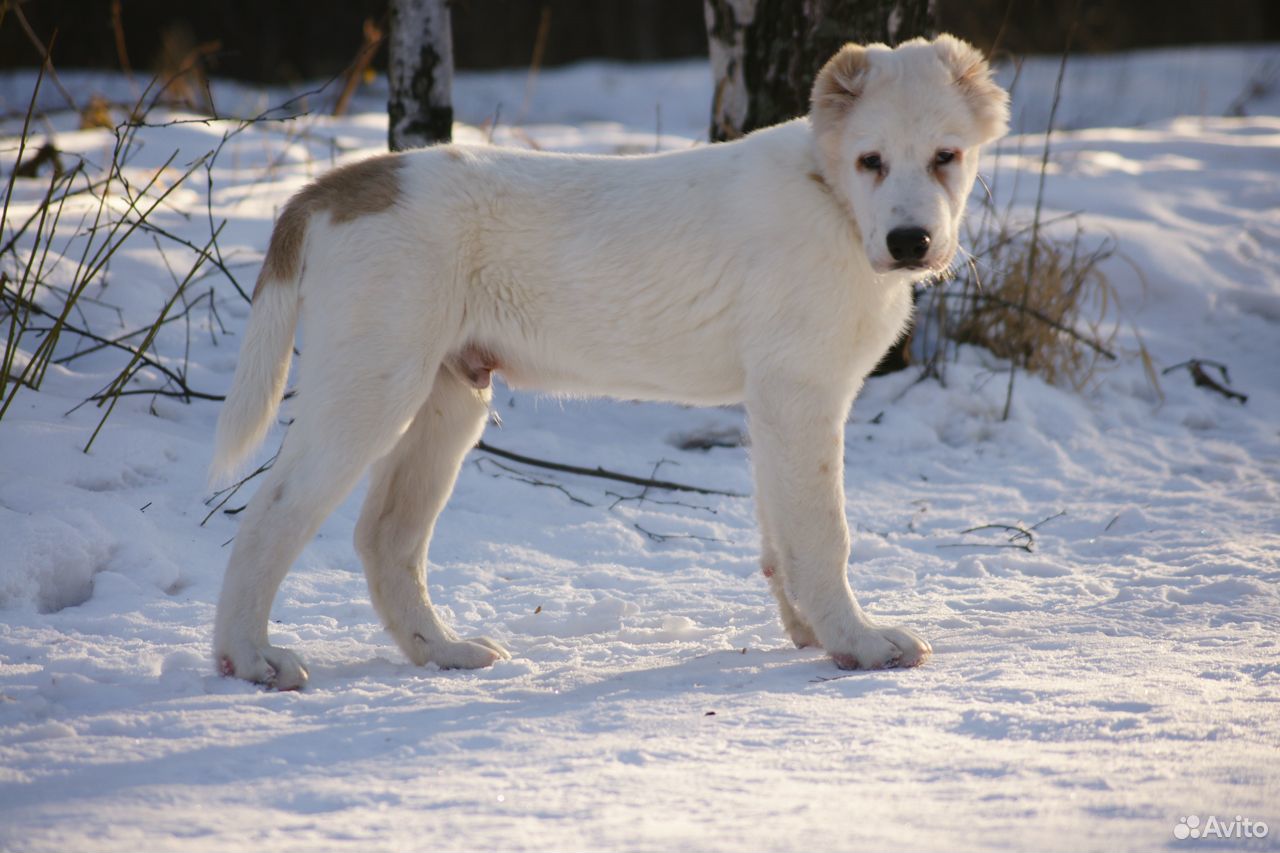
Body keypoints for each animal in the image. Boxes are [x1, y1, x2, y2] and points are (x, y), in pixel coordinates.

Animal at [209, 36, 1008, 686]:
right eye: (871, 161)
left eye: (946, 157)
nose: (910, 241)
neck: (834, 198)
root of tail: (336, 188)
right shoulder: (802, 391)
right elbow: (823, 534)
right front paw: (859, 642)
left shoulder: (776, 403)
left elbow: (782, 533)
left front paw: (812, 633)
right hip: (371, 386)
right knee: (271, 514)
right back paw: (250, 658)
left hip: (448, 398)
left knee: (385, 538)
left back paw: (443, 650)